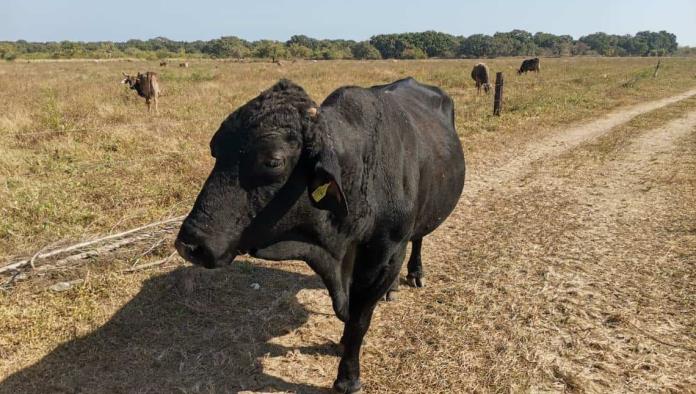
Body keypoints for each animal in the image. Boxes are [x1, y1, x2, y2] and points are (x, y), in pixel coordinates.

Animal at [175, 77, 468, 394]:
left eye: (272, 161)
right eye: (215, 149)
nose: (190, 243)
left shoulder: (385, 253)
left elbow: (359, 319)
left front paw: (347, 378)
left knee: (419, 238)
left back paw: (415, 273)